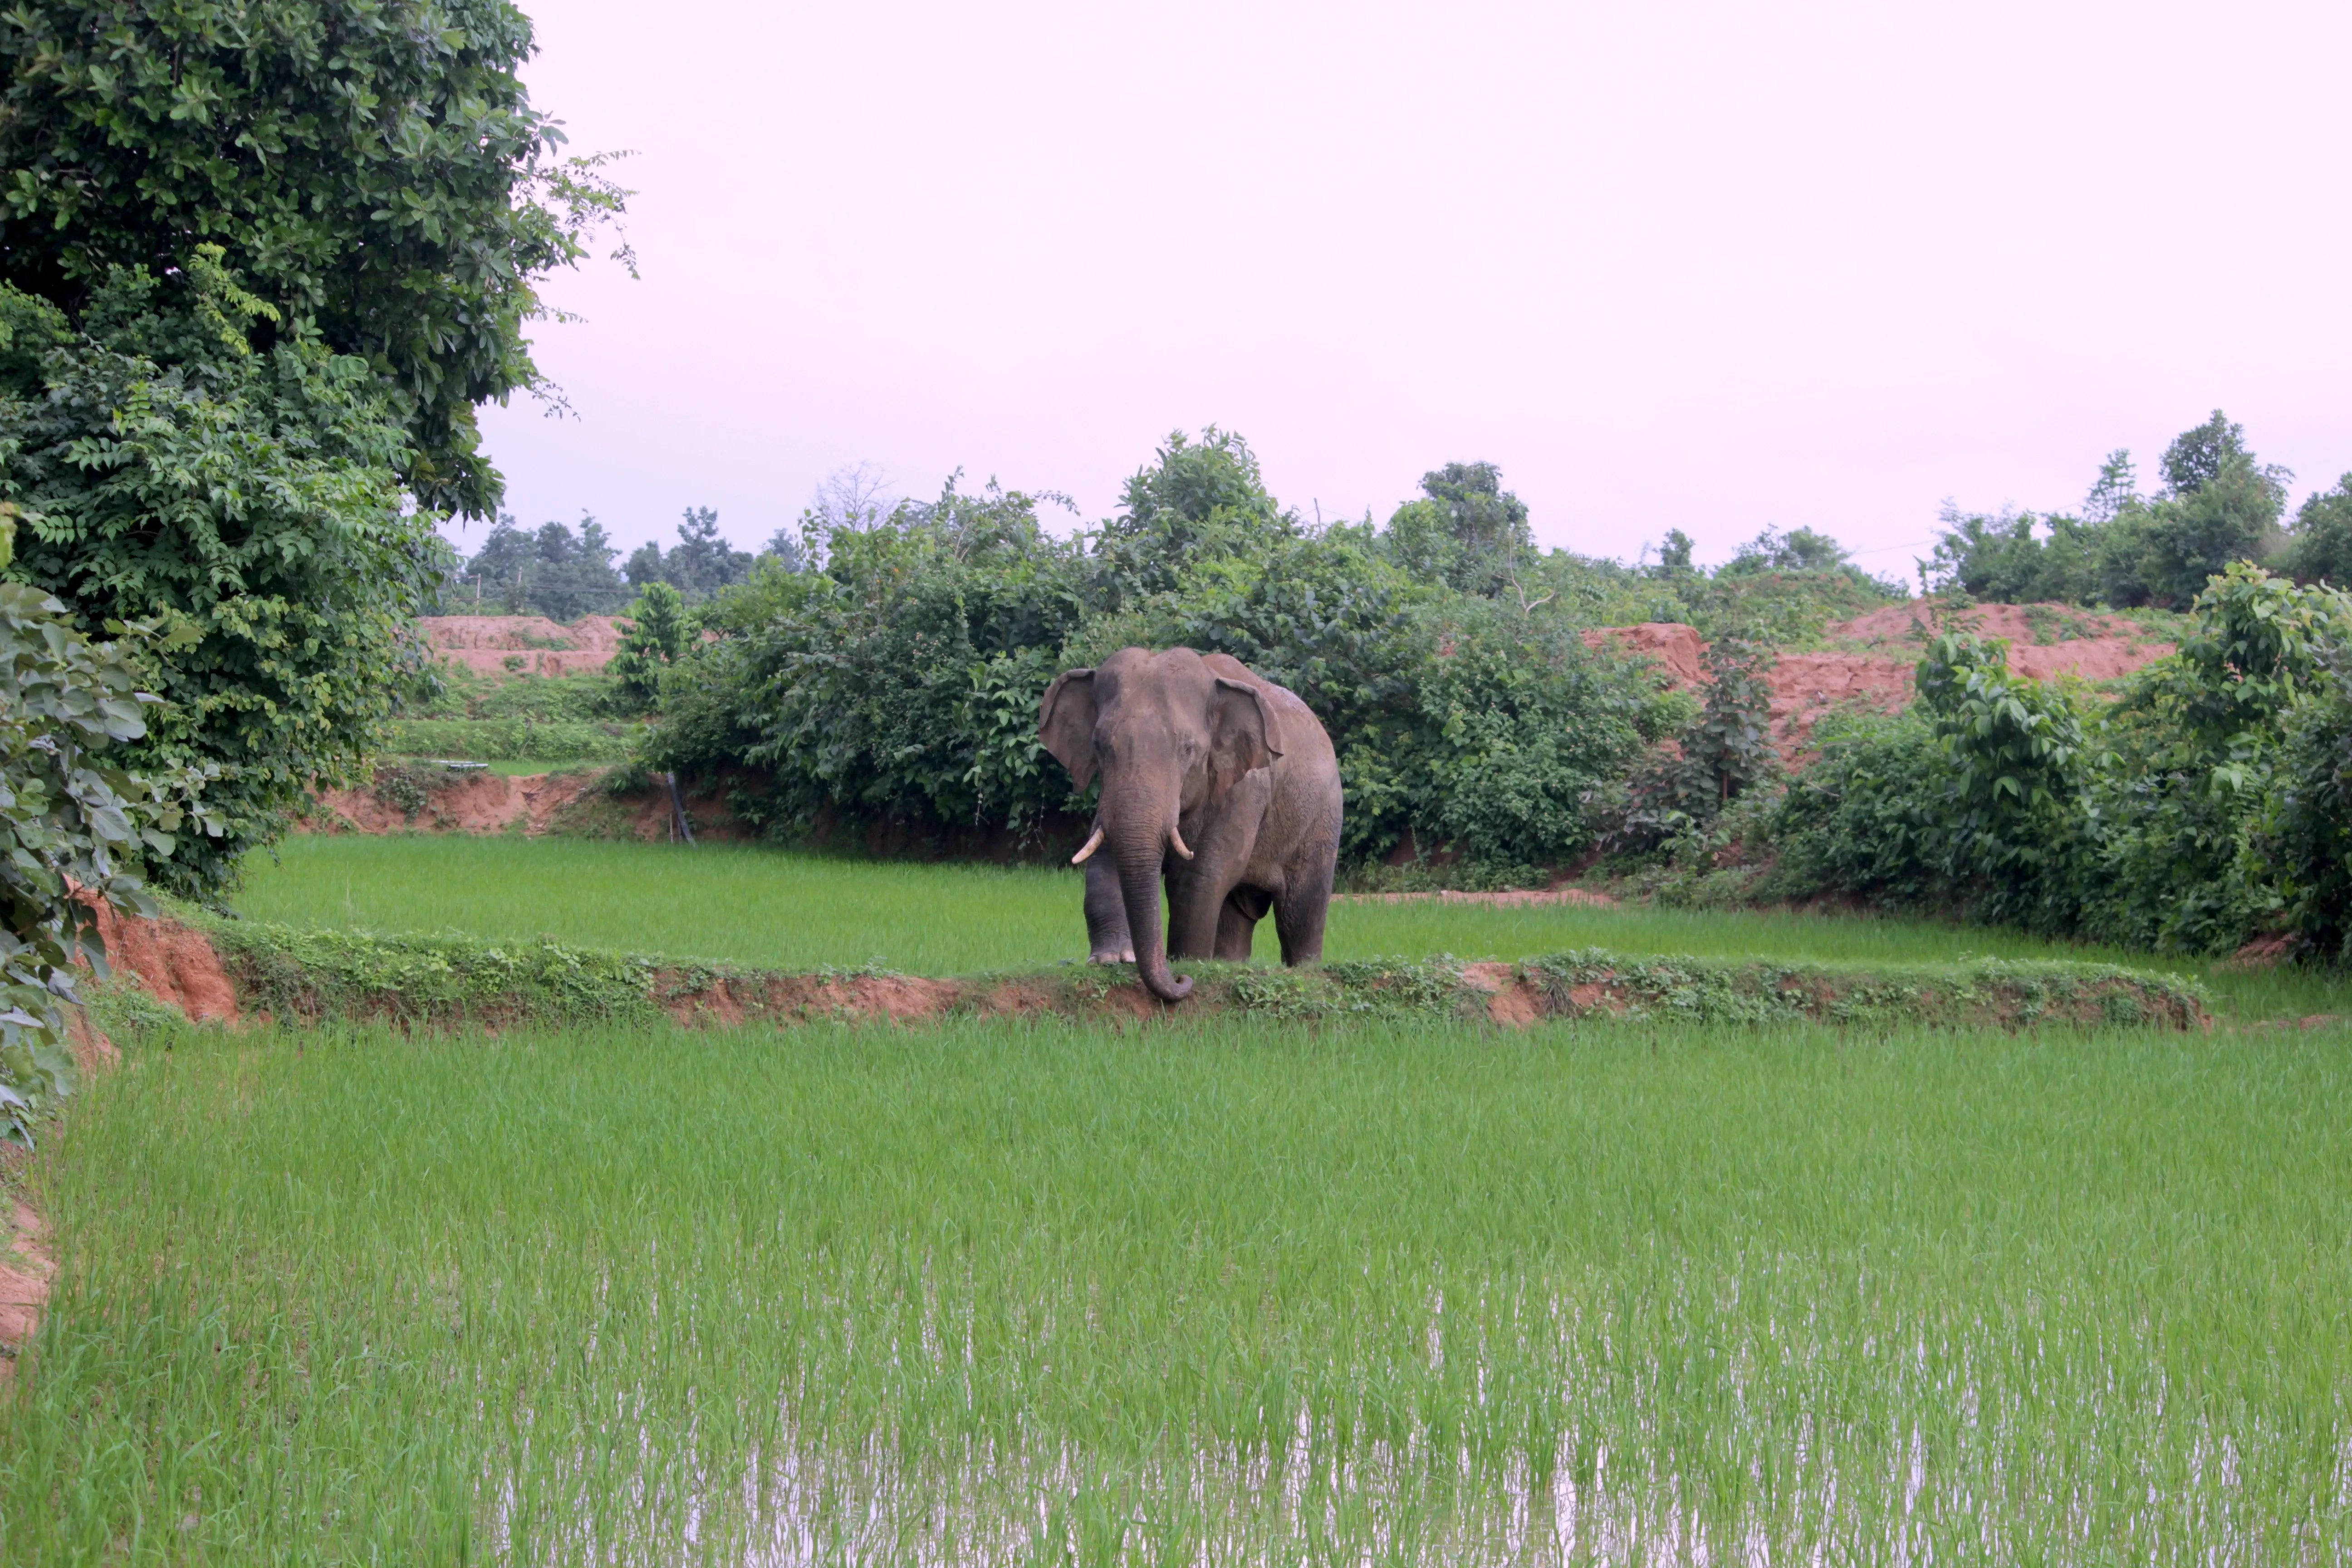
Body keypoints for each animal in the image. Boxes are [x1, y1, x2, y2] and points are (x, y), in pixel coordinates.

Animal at [1038, 646, 1343, 1002]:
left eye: (1188, 749)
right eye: (1099, 745)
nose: (1183, 980)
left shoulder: (1245, 788)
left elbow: (1201, 877)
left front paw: (1187, 963)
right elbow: (1103, 856)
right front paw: (1110, 960)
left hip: (1322, 819)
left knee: (1300, 913)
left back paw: (1306, 970)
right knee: (1237, 916)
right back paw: (1228, 965)